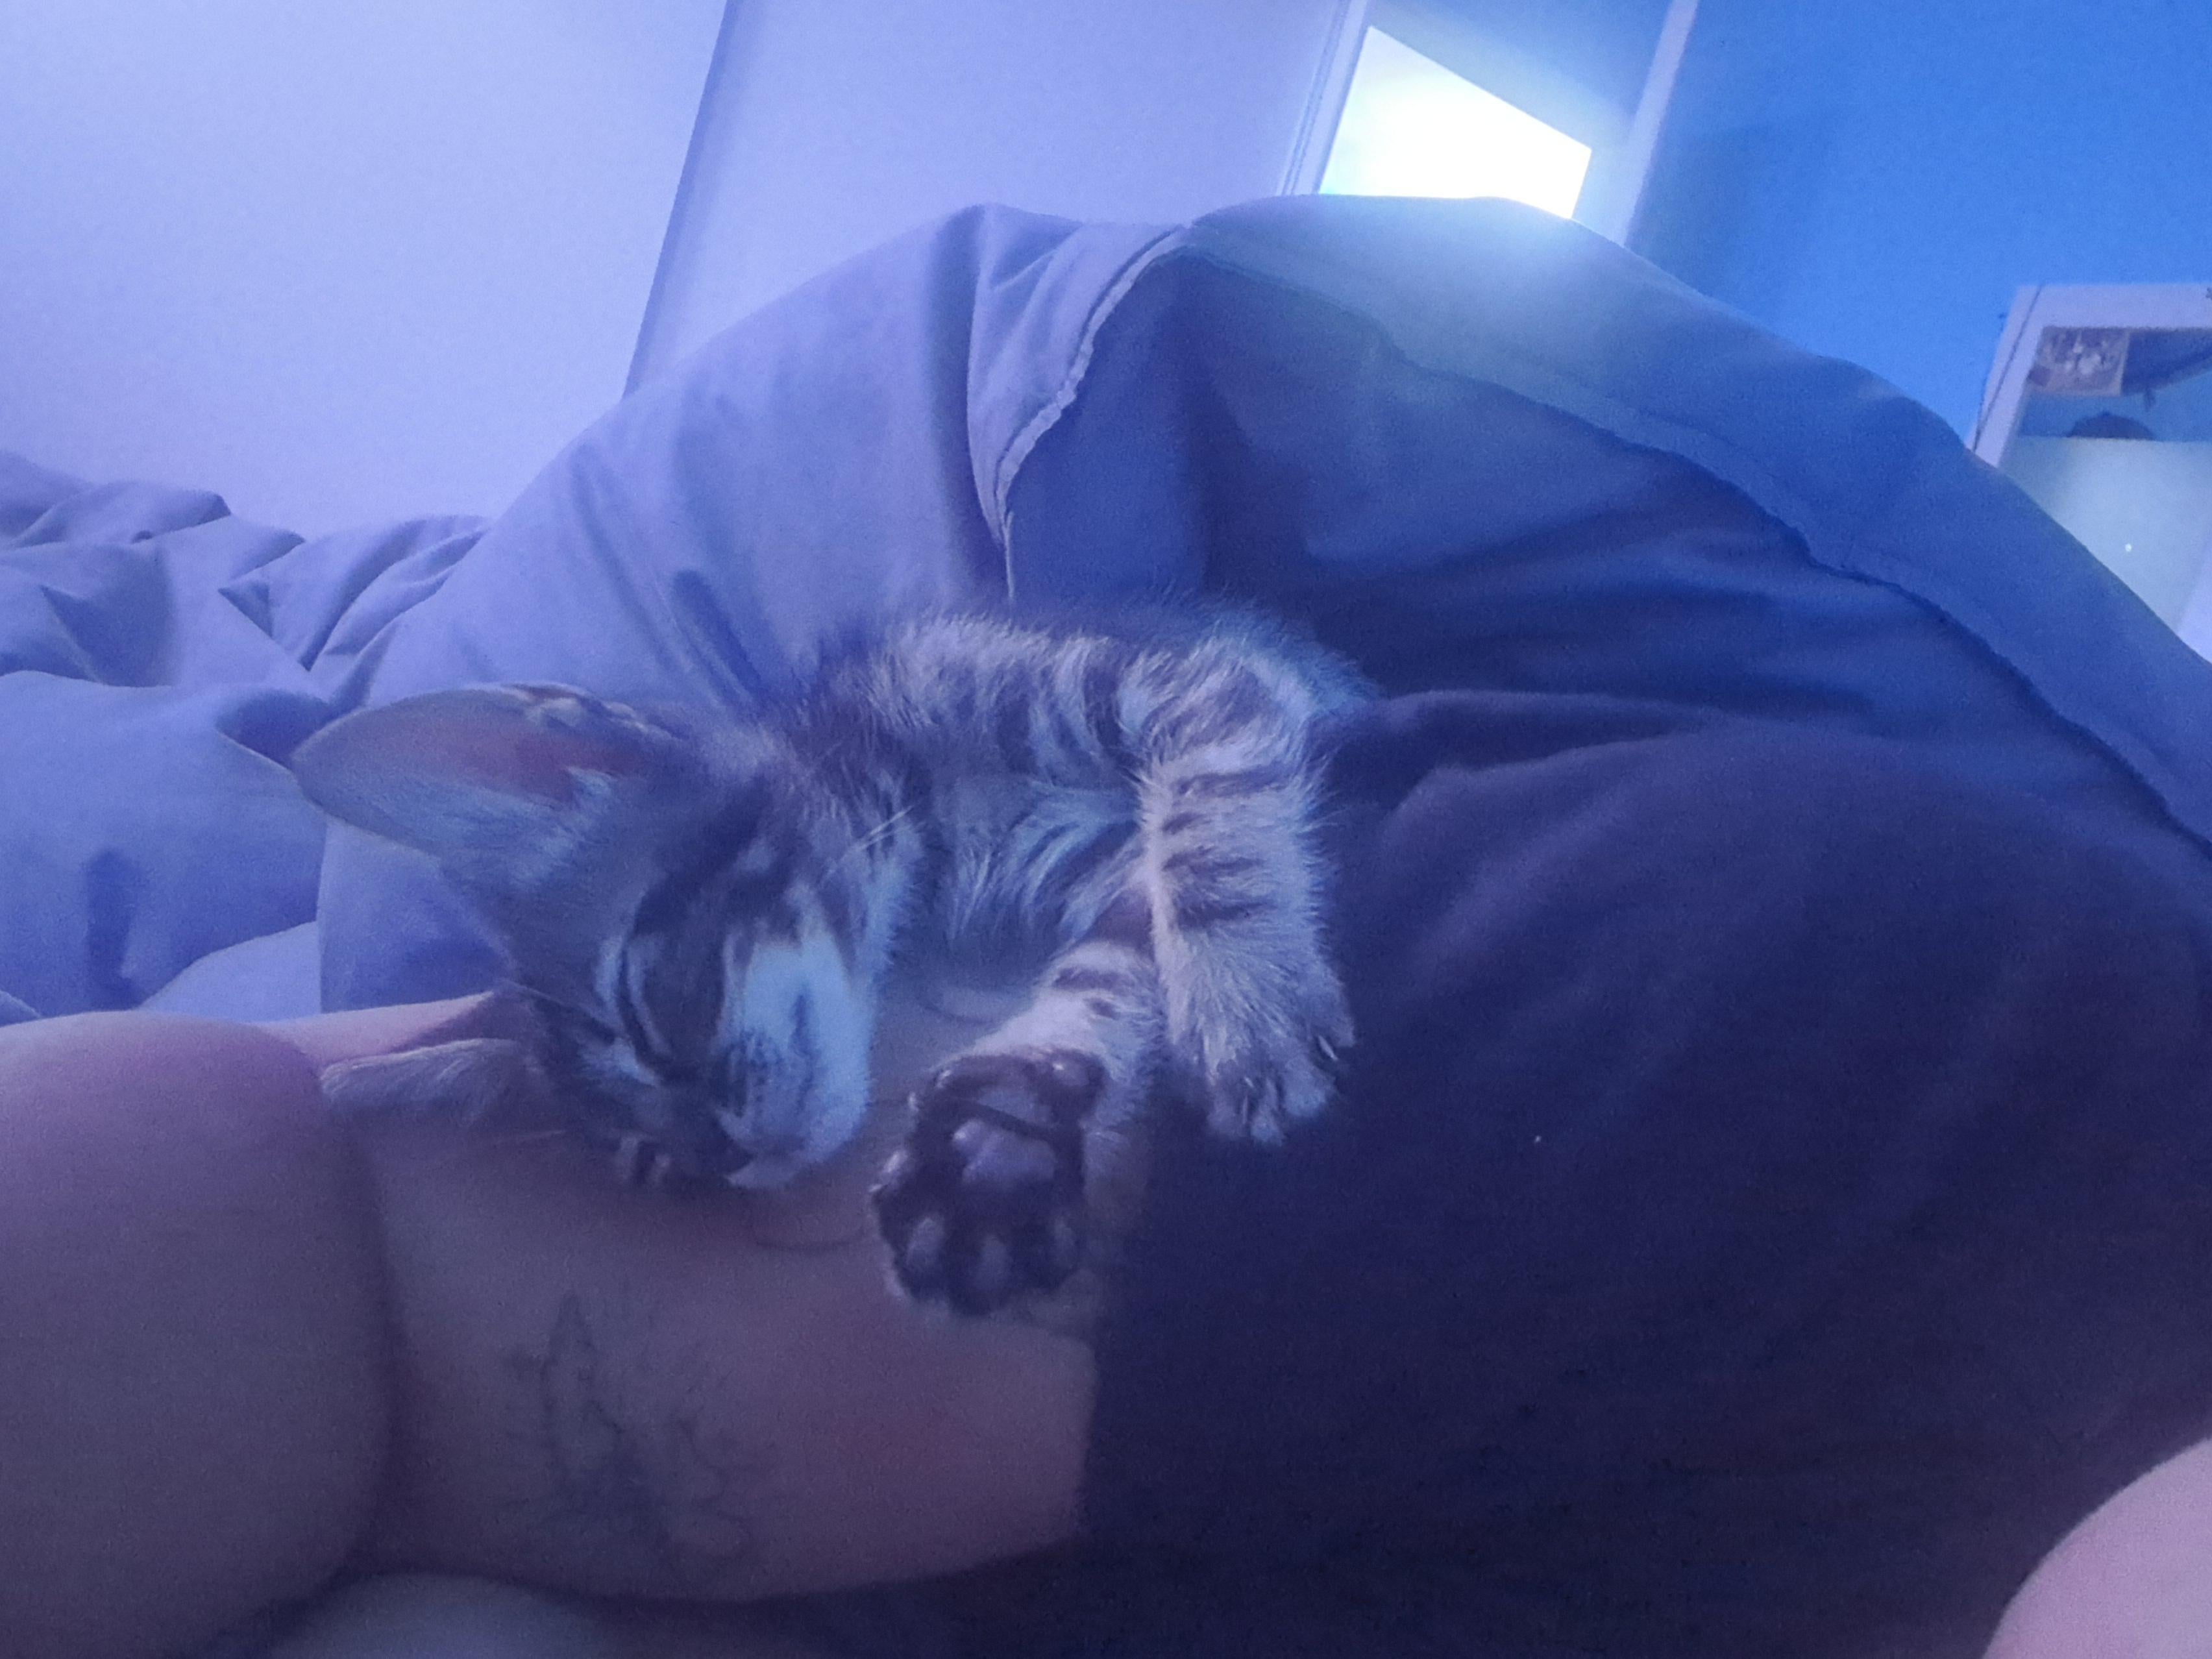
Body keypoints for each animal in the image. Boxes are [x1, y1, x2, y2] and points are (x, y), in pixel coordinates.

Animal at [293, 606, 1365, 1316]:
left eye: (650, 1010)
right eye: (653, 1164)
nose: (725, 1155)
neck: (932, 830)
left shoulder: (1196, 683)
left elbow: (1210, 806)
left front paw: (1247, 998)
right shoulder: (1099, 872)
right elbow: (1104, 979)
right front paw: (994, 1141)